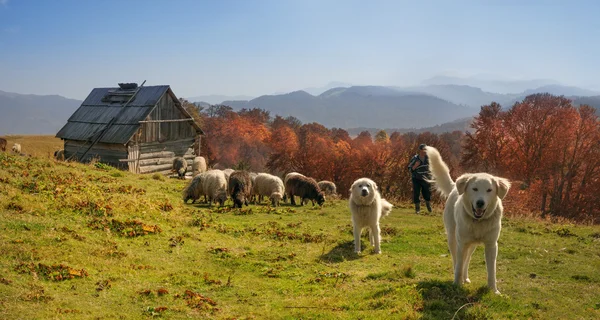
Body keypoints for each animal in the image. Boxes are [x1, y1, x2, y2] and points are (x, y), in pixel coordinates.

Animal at [426, 146, 510, 294]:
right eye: (475, 189)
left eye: (489, 190)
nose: (480, 203)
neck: (478, 222)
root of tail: (454, 187)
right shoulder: (462, 243)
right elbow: (459, 265)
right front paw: (456, 284)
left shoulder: (491, 245)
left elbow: (491, 271)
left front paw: (493, 290)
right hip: (453, 239)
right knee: (457, 260)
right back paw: (459, 278)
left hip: (472, 245)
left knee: (467, 260)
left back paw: (466, 278)